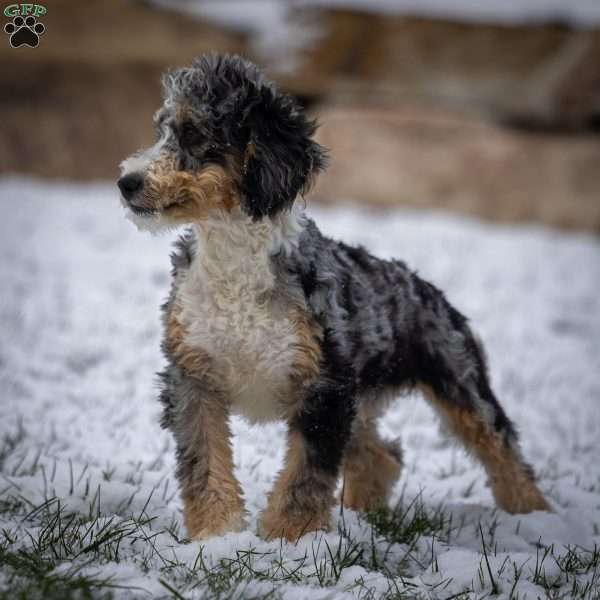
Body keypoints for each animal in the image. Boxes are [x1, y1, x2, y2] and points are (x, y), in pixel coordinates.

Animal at [117, 54, 548, 540]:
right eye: (161, 129)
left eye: (193, 132)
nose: (126, 182)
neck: (236, 267)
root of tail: (424, 286)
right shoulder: (193, 377)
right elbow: (204, 464)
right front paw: (216, 536)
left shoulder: (323, 388)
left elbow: (305, 474)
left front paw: (289, 541)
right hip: (361, 398)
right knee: (383, 454)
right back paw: (365, 515)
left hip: (457, 380)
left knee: (501, 447)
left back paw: (536, 517)